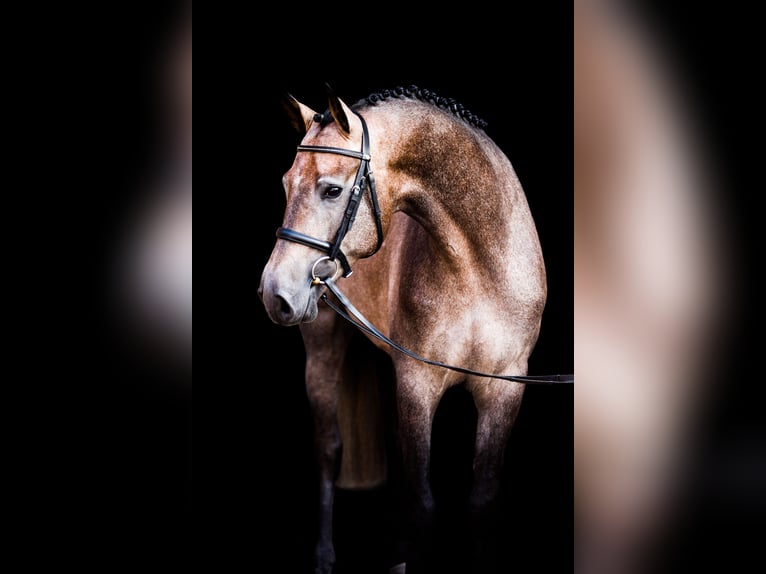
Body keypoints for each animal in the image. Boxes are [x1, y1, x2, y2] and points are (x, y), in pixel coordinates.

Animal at [258, 86, 547, 573]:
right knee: (329, 447)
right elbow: (422, 506)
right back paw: (324, 555)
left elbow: (481, 503)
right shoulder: (418, 384)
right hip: (324, 352)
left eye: (331, 190)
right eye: (284, 184)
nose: (273, 292)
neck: (480, 267)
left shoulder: (505, 388)